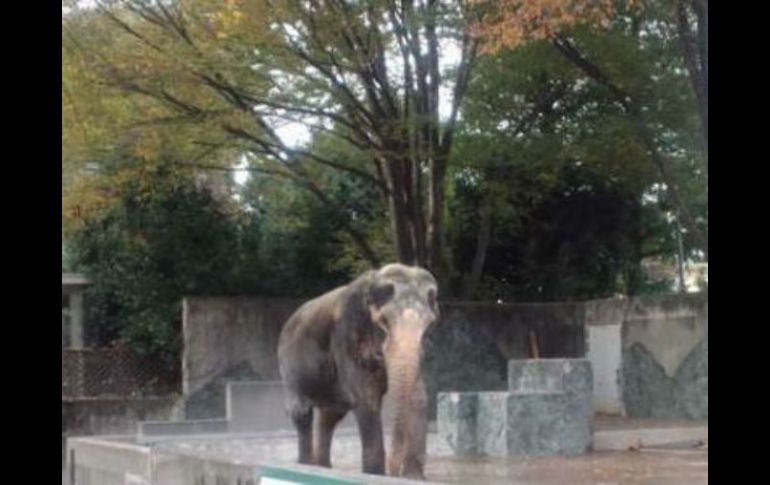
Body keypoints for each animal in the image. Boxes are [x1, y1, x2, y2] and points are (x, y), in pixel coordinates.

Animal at [278, 262, 438, 478]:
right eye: (383, 322)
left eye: (428, 326)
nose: (395, 470)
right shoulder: (347, 337)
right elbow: (366, 399)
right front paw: (375, 475)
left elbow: (420, 397)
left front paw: (413, 477)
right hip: (289, 366)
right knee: (302, 413)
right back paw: (305, 466)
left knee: (329, 417)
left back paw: (323, 468)